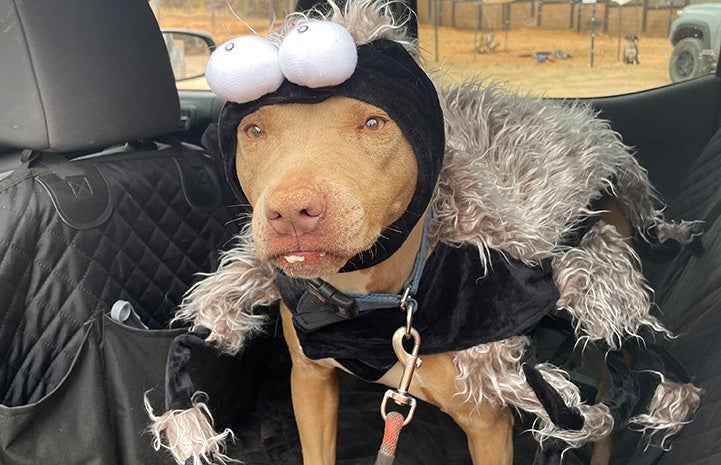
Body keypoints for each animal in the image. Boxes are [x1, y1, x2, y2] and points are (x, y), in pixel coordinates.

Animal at [149, 1, 700, 462]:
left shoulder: (486, 422)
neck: (373, 302)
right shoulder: (309, 381)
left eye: (374, 124)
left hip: (605, 275)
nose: (291, 211)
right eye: (255, 130)